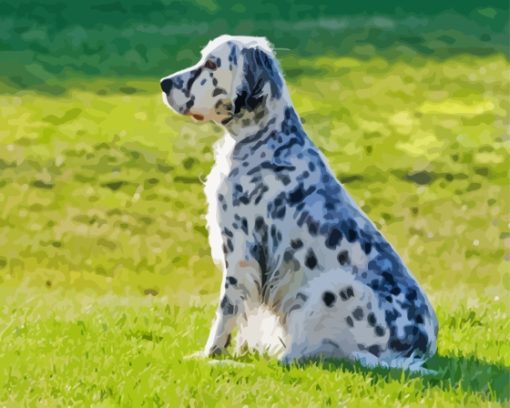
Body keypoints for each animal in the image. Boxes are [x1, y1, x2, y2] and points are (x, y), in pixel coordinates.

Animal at [160, 35, 438, 372]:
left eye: (212, 64)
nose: (164, 83)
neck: (265, 140)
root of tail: (418, 349)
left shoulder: (241, 251)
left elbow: (226, 311)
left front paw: (210, 354)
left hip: (333, 287)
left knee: (291, 358)